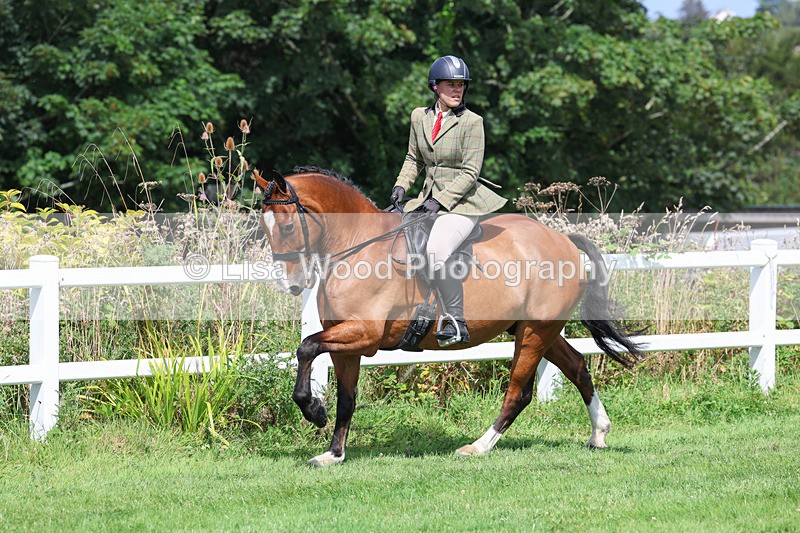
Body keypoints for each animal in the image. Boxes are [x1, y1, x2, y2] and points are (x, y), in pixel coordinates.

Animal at [254, 166, 643, 467]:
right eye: (264, 227)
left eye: (286, 227)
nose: (291, 285)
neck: (356, 246)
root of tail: (563, 240)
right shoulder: (345, 342)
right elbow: (346, 397)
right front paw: (333, 453)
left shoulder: (364, 335)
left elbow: (306, 347)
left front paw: (313, 411)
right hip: (536, 329)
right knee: (576, 366)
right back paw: (599, 434)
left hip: (534, 332)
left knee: (519, 392)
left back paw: (478, 446)